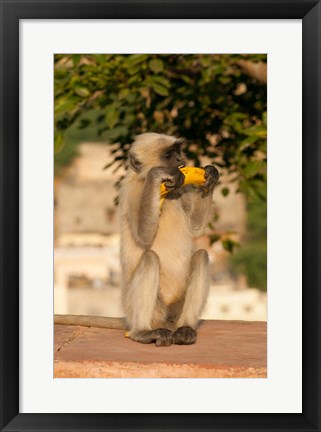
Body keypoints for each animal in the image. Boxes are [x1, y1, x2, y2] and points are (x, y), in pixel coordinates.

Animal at [119, 133, 219, 346]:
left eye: (178, 152)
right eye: (168, 156)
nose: (181, 160)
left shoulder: (181, 189)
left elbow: (196, 225)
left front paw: (211, 174)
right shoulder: (132, 191)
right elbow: (143, 237)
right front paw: (156, 175)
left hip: (176, 307)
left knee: (201, 256)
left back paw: (185, 329)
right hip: (142, 308)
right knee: (149, 258)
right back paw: (142, 332)